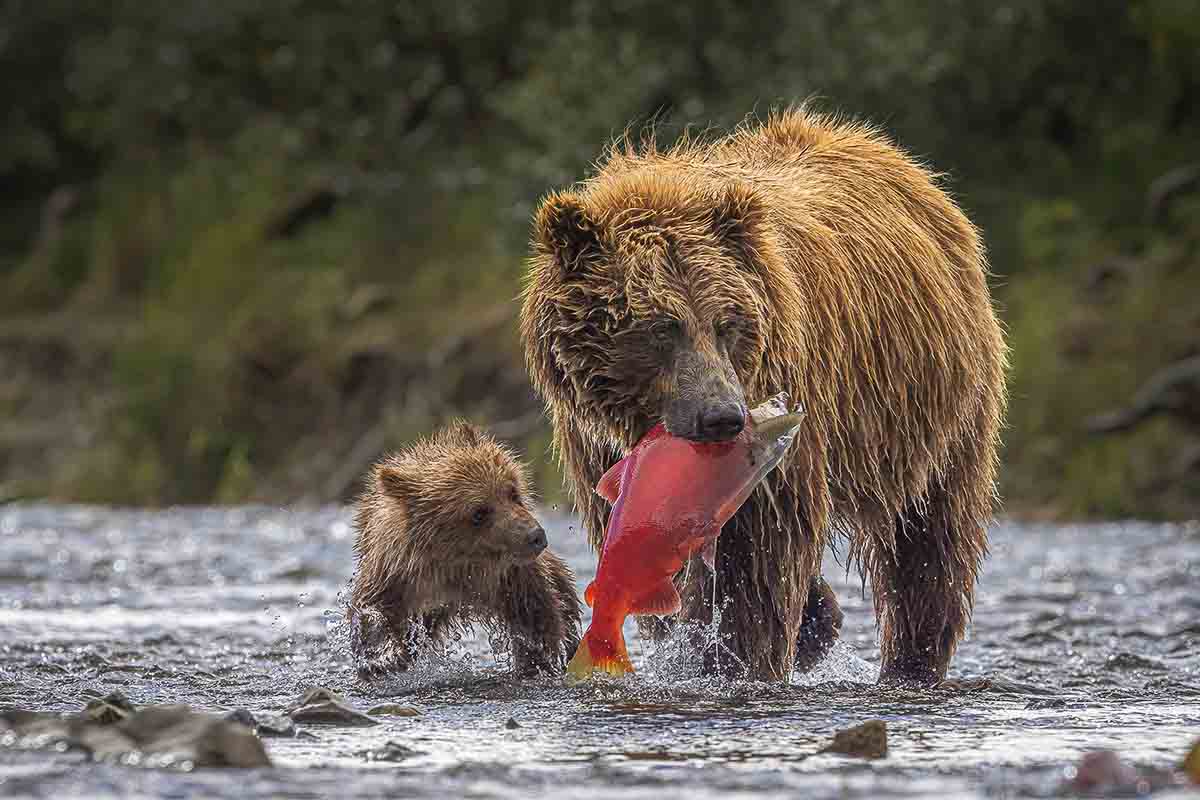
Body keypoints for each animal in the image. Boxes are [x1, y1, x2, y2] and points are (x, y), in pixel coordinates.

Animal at [520, 104, 1008, 681]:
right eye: (661, 327)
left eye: (726, 323)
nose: (722, 417)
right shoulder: (598, 444)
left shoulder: (789, 401)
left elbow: (762, 551)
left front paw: (742, 653)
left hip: (932, 410)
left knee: (928, 541)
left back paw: (912, 658)